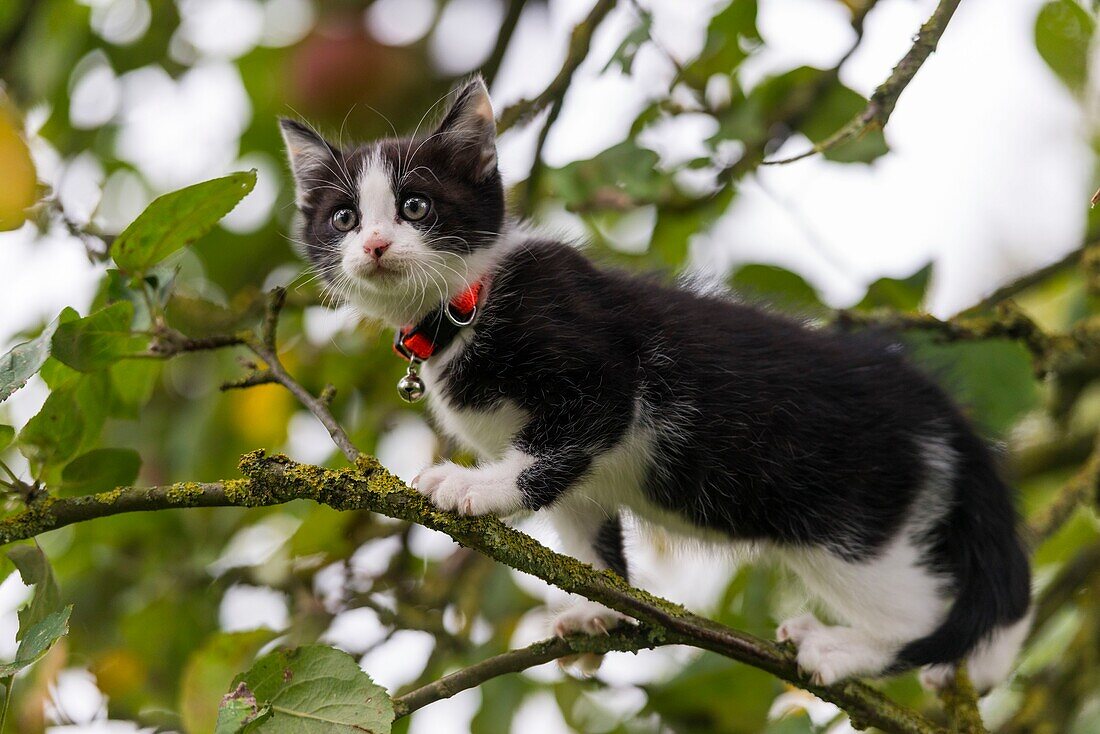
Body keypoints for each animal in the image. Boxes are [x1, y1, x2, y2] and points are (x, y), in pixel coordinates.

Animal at [281, 77, 1029, 691]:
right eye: (344, 218)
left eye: (416, 206)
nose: (375, 245)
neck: (467, 309)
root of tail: (928, 398)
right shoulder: (578, 472)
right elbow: (580, 517)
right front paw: (598, 605)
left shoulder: (602, 367)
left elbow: (550, 452)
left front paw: (473, 488)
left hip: (853, 516)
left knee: (926, 614)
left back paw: (851, 650)